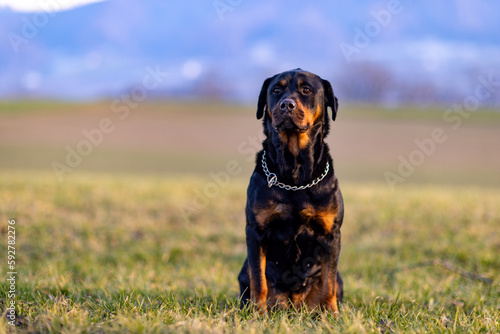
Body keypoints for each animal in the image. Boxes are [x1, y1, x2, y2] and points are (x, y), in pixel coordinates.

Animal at [238, 68, 344, 314]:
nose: (287, 105)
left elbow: (329, 283)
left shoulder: (331, 234)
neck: (295, 176)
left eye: (306, 90)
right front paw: (257, 314)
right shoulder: (255, 232)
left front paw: (331, 314)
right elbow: (259, 279)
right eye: (277, 90)